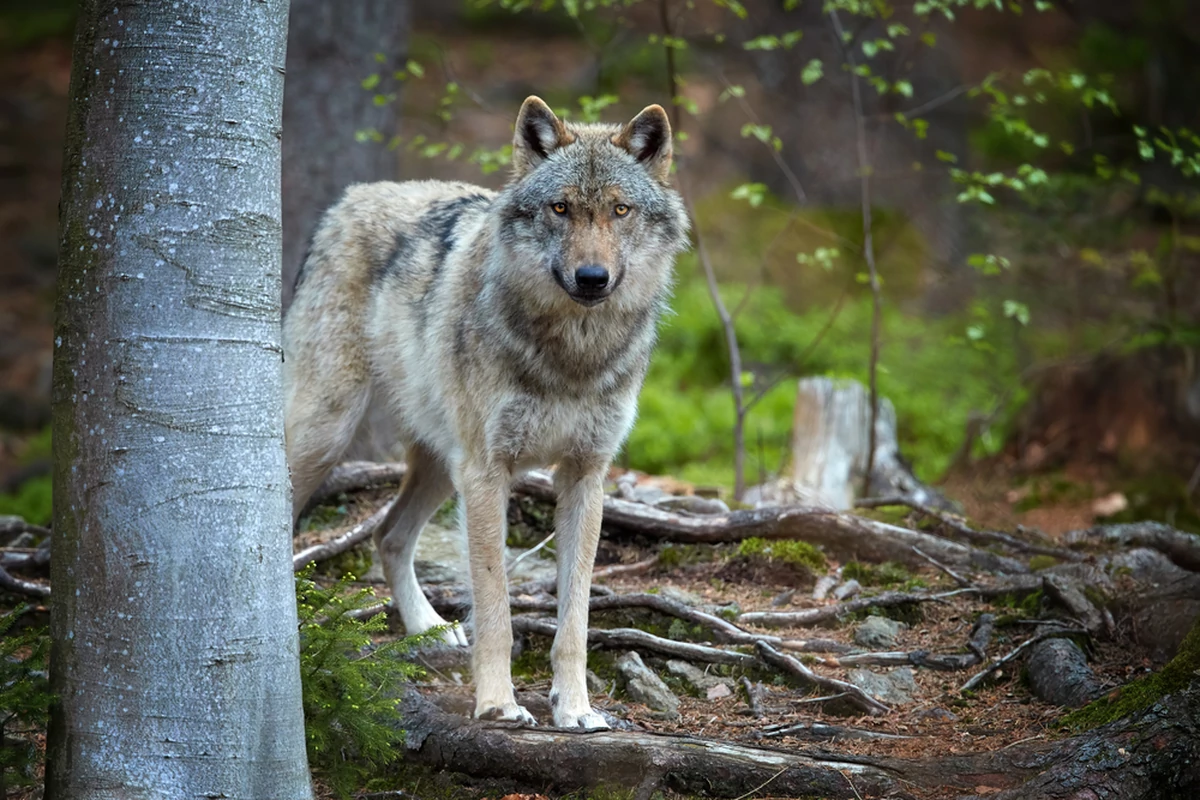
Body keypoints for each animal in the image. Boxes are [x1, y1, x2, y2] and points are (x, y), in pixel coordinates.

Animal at [282, 97, 691, 729]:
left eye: (620, 210)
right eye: (560, 208)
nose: (591, 278)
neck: (572, 355)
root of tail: (350, 197)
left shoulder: (586, 476)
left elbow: (576, 618)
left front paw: (576, 708)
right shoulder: (487, 472)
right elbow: (496, 606)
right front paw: (498, 703)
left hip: (439, 464)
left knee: (387, 534)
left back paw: (428, 627)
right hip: (330, 433)